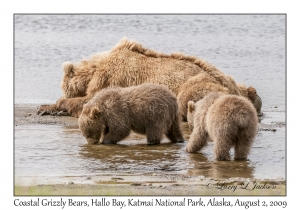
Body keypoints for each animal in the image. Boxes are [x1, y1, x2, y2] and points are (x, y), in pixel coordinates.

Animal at [37, 37, 241, 117]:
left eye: (63, 86)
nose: (61, 93)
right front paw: (47, 107)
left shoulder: (111, 78)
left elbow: (91, 100)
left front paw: (50, 106)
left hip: (194, 83)